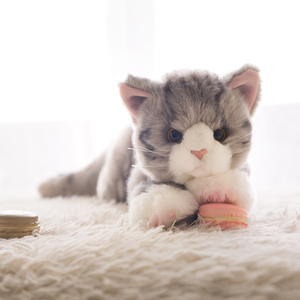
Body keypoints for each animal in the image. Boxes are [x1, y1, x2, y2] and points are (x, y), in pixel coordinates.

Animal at [39, 65, 260, 227]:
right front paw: (168, 207)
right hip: (111, 178)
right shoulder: (138, 172)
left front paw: (216, 189)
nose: (199, 151)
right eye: (173, 135)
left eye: (220, 134)